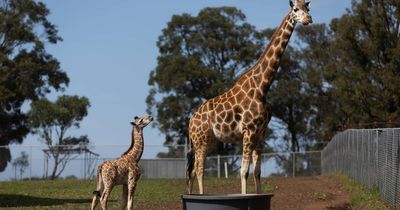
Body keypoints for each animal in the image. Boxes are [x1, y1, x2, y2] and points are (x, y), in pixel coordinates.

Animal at [187, 0, 312, 194]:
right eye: (295, 9)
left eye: (308, 7)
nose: (308, 19)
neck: (263, 87)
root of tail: (190, 122)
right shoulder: (249, 130)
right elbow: (244, 171)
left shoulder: (261, 133)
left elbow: (257, 172)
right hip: (200, 141)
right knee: (199, 170)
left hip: (210, 141)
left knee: (192, 171)